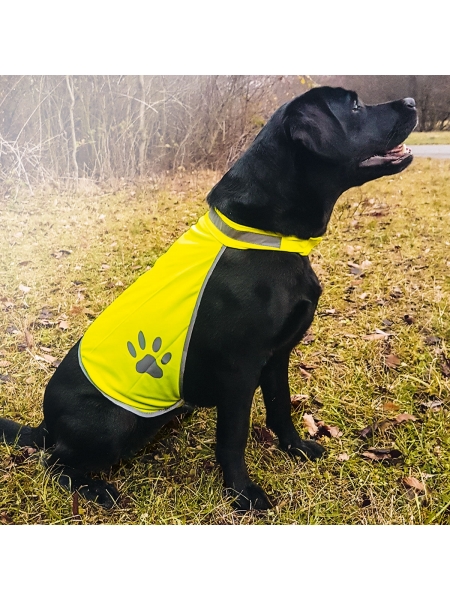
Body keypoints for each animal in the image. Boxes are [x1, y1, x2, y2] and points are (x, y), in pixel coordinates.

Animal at [0, 88, 416, 510]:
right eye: (355, 106)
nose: (412, 102)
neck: (268, 235)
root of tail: (45, 426)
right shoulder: (240, 369)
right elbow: (233, 437)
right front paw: (243, 494)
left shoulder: (277, 356)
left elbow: (280, 408)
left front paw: (296, 448)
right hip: (112, 424)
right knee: (55, 463)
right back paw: (96, 488)